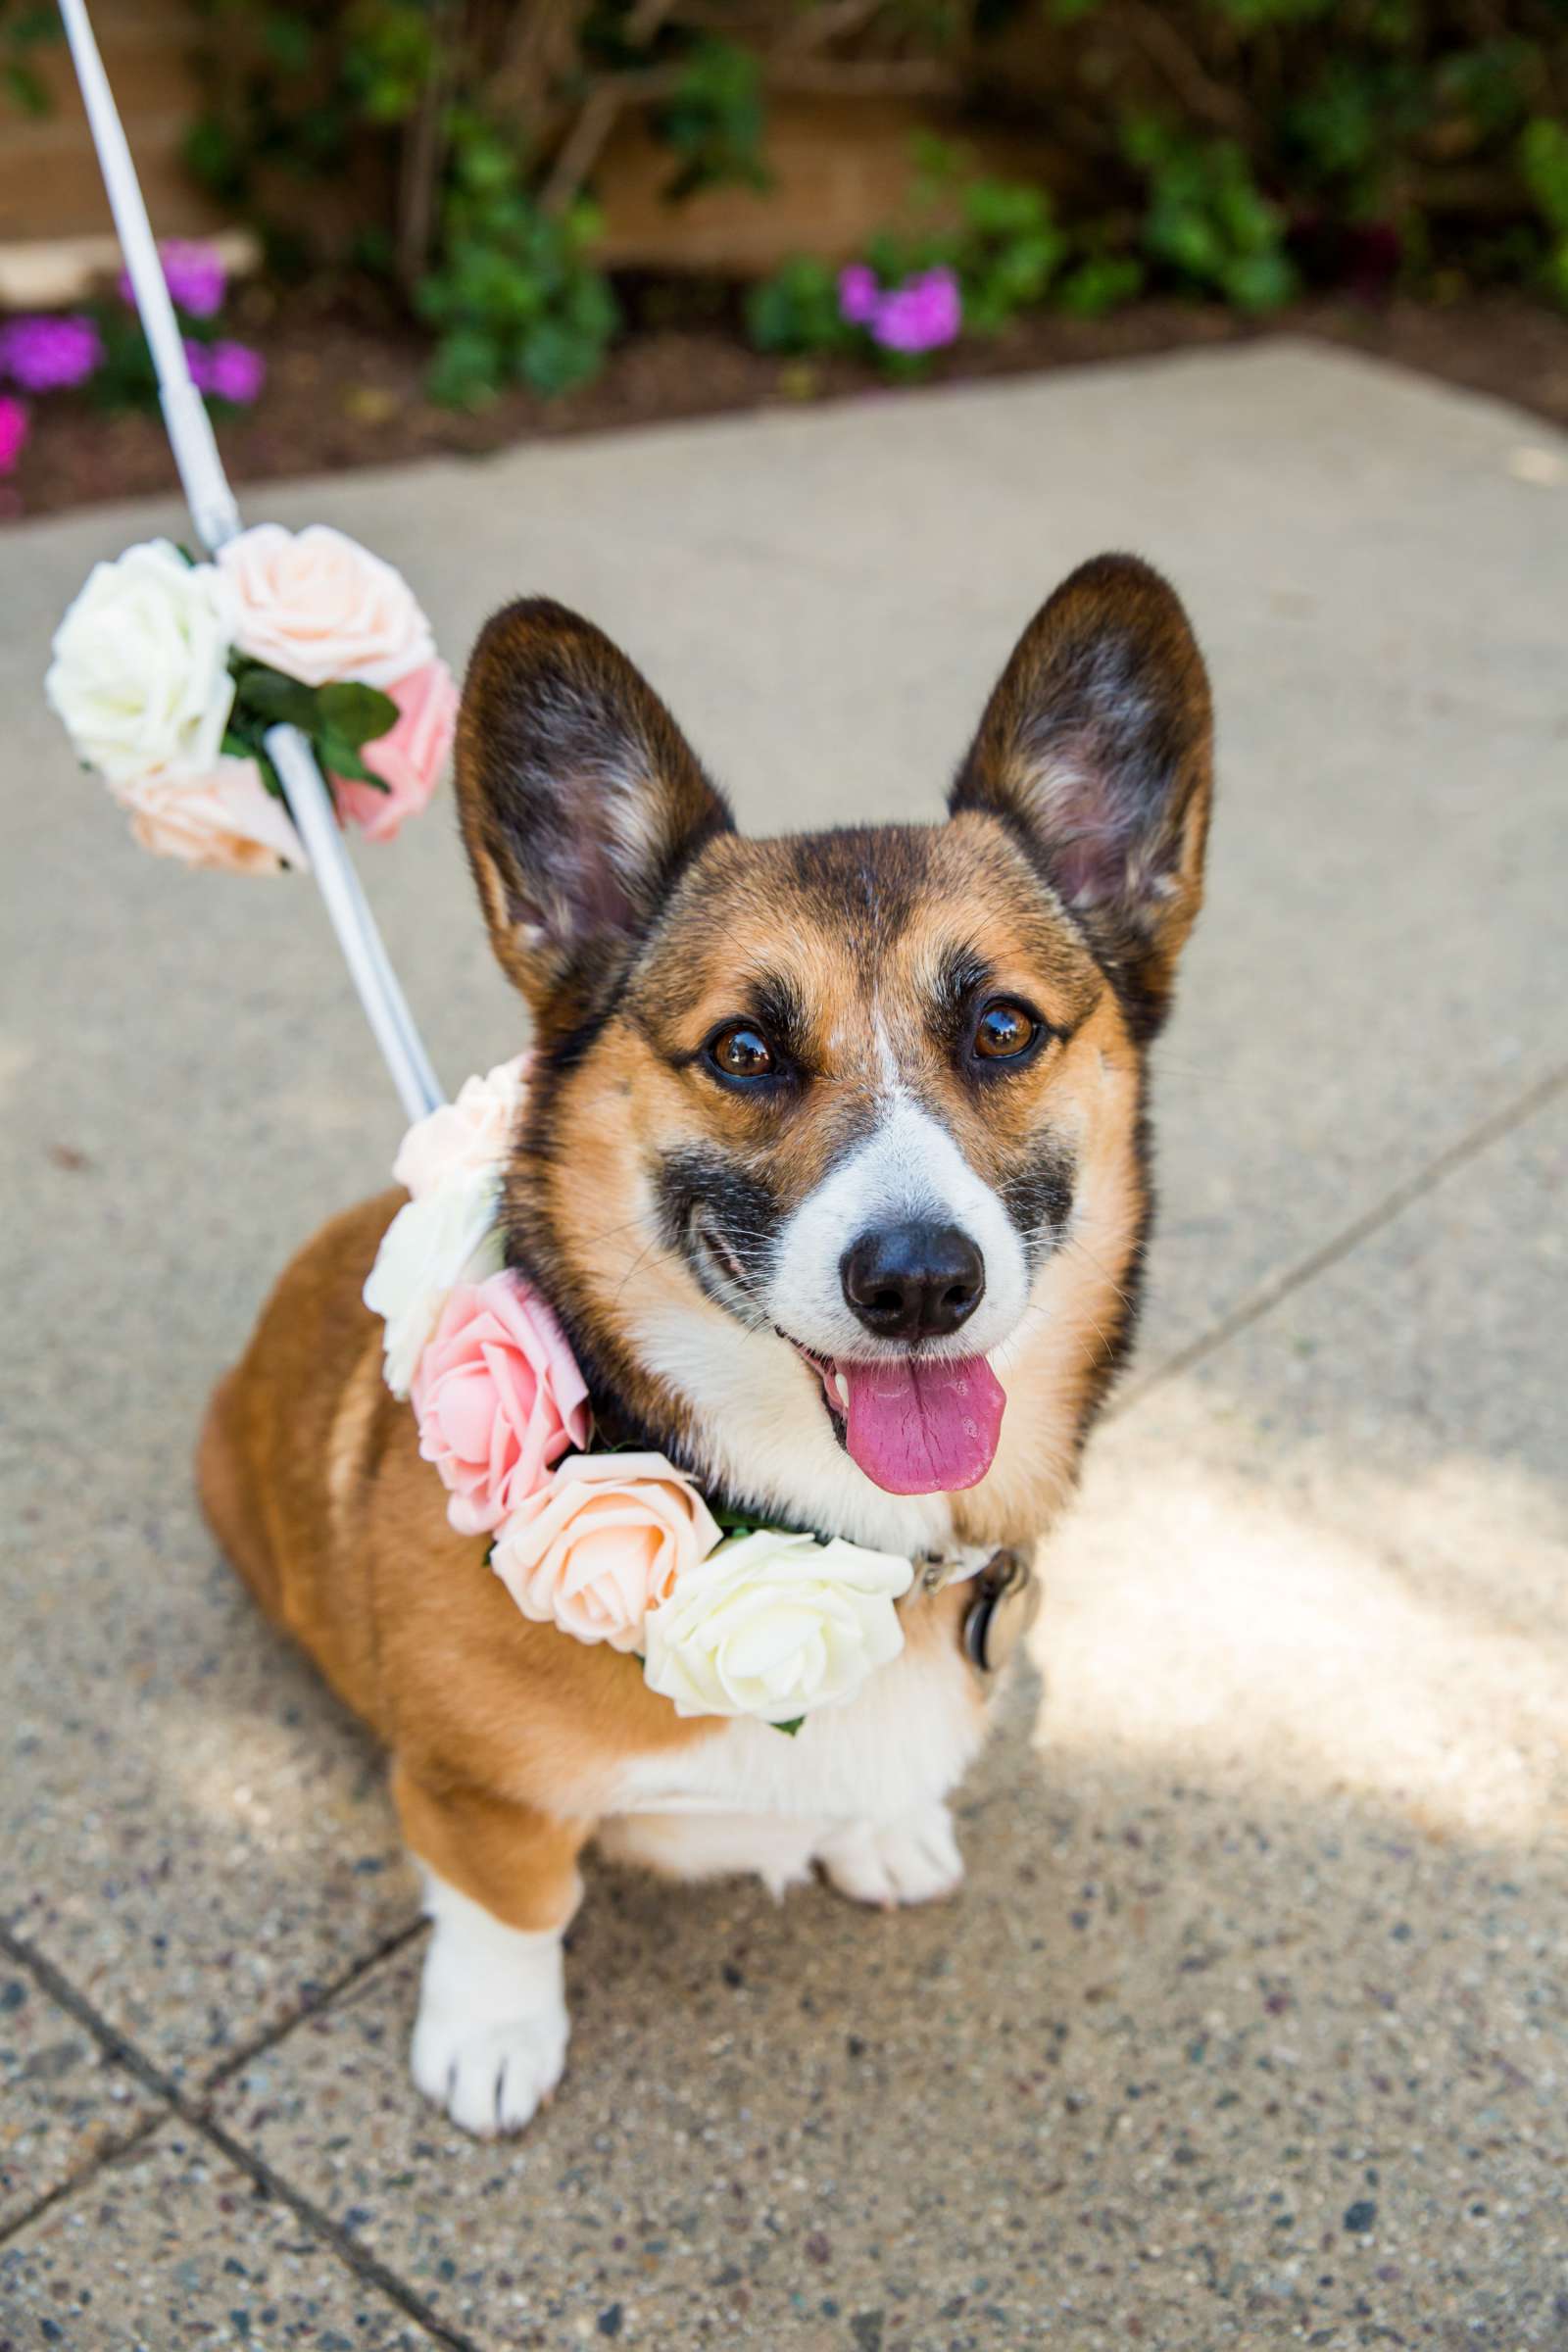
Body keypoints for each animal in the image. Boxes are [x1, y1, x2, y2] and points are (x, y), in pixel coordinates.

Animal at [202, 545, 1212, 2135]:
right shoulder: (475, 1793)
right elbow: (512, 1900)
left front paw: (886, 1830)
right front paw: (492, 2038)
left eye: (1000, 1026)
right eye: (743, 1050)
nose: (918, 1284)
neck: (833, 1539)